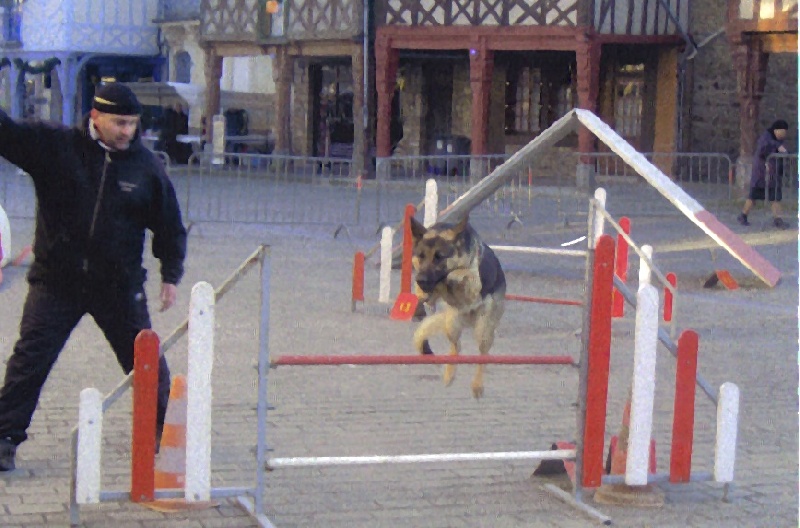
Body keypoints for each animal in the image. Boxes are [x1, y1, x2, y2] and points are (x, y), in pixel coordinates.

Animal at [412, 213, 506, 396]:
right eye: (421, 256)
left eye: (439, 257)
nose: (421, 280)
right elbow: (424, 291)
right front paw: (421, 294)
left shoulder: (473, 286)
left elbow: (458, 273)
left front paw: (450, 277)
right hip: (451, 324)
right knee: (457, 346)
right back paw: (449, 374)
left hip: (483, 329)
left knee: (483, 355)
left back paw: (477, 385)